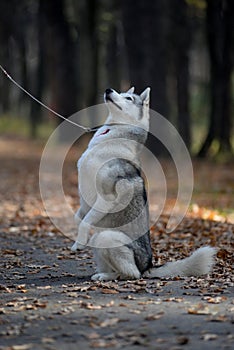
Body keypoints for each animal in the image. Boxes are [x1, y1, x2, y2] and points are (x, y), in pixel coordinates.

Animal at [71, 87, 216, 282]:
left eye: (129, 98)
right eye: (120, 92)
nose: (108, 89)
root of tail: (148, 266)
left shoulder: (107, 197)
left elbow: (85, 221)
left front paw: (78, 243)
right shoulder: (85, 202)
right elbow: (79, 218)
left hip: (106, 238)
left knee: (132, 274)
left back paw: (108, 276)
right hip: (99, 243)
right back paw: (102, 274)